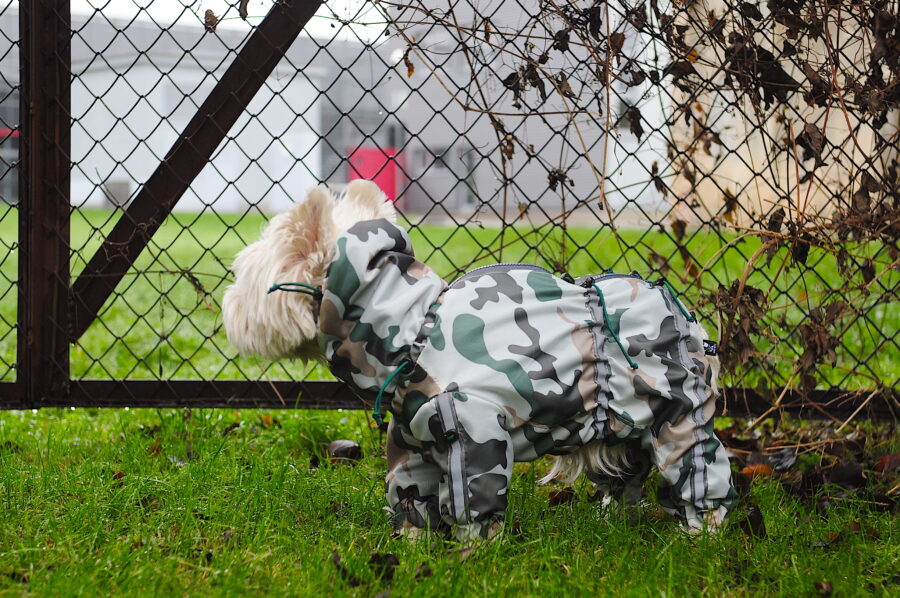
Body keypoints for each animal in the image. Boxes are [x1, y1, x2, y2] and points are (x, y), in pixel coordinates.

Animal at [221, 180, 736, 540]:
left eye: (242, 277)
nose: (228, 306)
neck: (411, 329)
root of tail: (685, 315)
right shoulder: (411, 441)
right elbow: (411, 497)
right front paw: (415, 547)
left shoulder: (474, 432)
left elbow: (473, 502)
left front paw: (472, 557)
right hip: (627, 426)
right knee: (628, 478)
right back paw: (616, 522)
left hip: (679, 416)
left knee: (697, 474)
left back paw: (700, 536)